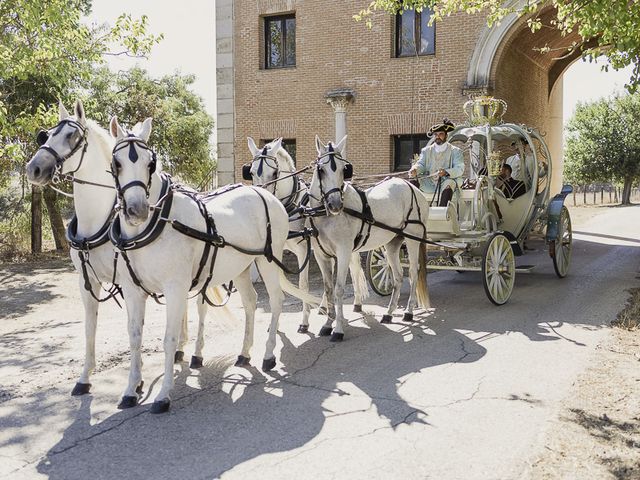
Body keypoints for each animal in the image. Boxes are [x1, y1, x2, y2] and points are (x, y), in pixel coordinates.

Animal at [24, 100, 222, 402]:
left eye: (72, 136)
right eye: (45, 135)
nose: (34, 168)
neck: (98, 220)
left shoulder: (128, 279)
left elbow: (135, 329)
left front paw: (137, 382)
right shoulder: (88, 282)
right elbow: (91, 329)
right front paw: (86, 378)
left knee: (200, 306)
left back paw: (196, 353)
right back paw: (180, 349)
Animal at [110, 115, 320, 412]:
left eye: (150, 163)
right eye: (117, 163)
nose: (136, 210)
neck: (157, 224)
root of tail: (267, 197)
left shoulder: (175, 288)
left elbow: (169, 338)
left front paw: (163, 394)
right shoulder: (133, 291)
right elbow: (135, 337)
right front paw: (130, 390)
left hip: (268, 260)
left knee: (277, 300)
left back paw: (269, 354)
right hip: (242, 266)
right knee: (251, 302)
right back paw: (244, 353)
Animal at [244, 137, 370, 334]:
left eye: (274, 173)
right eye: (250, 172)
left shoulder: (303, 250)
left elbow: (303, 284)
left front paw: (304, 322)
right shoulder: (277, 251)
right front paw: (275, 324)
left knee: (353, 268)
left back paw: (355, 303)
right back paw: (325, 307)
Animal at [306, 135, 430, 342]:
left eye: (344, 169)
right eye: (321, 170)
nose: (335, 205)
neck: (324, 215)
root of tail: (412, 186)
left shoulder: (344, 251)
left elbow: (339, 289)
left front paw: (338, 330)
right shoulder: (321, 255)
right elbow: (328, 289)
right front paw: (327, 325)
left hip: (413, 239)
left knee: (413, 272)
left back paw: (409, 312)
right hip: (392, 243)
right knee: (398, 276)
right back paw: (389, 313)